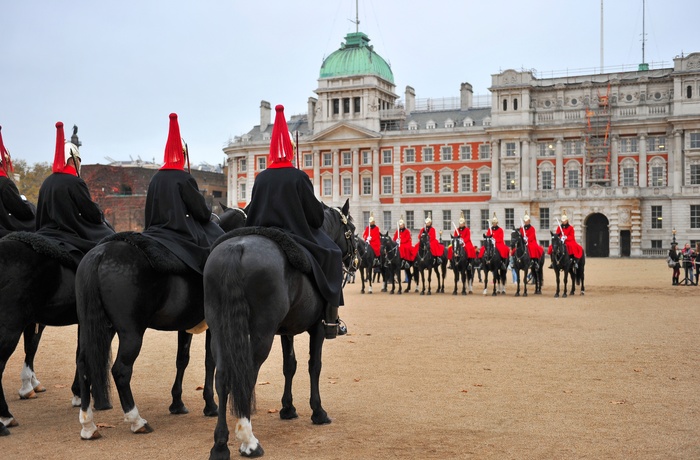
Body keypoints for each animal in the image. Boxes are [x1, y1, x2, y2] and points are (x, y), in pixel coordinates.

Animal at [75, 208, 246, 438]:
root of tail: (101, 254)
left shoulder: (185, 327)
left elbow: (182, 359)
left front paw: (177, 403)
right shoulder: (213, 326)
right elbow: (210, 362)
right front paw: (210, 405)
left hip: (96, 328)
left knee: (84, 365)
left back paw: (88, 424)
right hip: (131, 334)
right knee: (121, 371)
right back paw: (136, 420)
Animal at [204, 199, 356, 458]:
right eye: (353, 229)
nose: (358, 260)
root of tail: (236, 249)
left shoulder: (286, 330)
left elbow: (289, 366)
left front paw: (288, 408)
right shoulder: (316, 329)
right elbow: (314, 366)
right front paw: (318, 412)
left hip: (220, 331)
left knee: (222, 376)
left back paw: (221, 444)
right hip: (261, 334)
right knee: (247, 374)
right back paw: (249, 441)